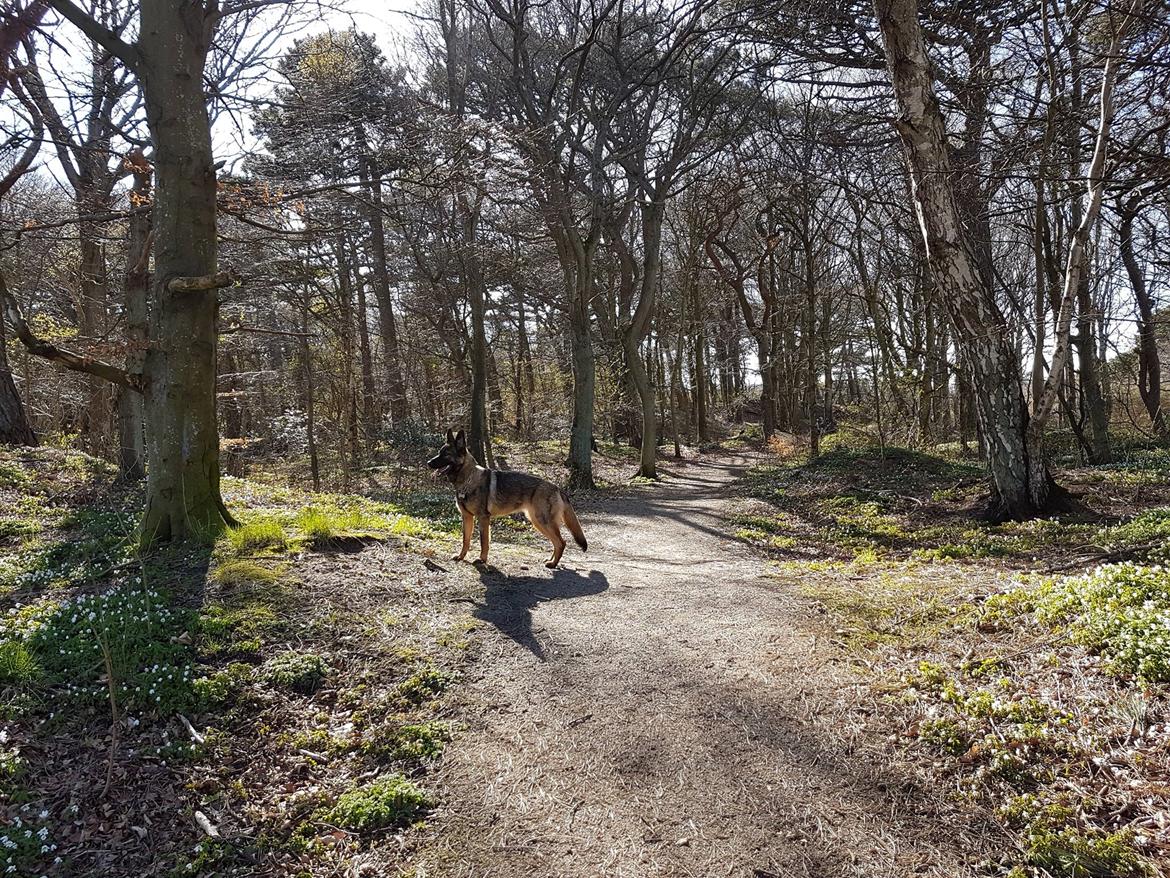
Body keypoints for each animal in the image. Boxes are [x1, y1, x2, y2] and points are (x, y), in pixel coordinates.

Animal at [428, 430, 589, 571]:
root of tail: (557, 488)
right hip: (537, 522)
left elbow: (484, 541)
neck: (468, 479)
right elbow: (465, 540)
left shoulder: (483, 518)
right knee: (556, 542)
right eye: (439, 452)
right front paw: (461, 557)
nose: (429, 462)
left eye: (446, 454)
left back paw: (553, 564)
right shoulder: (467, 517)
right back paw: (551, 560)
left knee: (561, 542)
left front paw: (482, 560)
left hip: (543, 521)